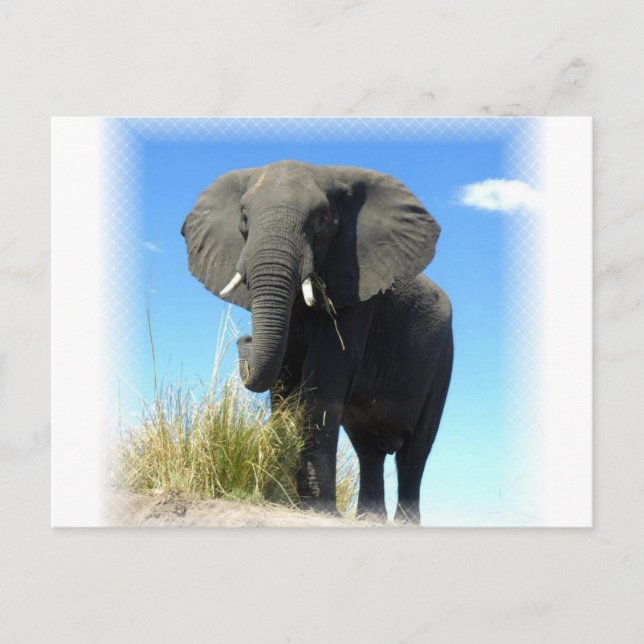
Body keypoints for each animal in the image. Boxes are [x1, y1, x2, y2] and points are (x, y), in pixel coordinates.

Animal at [181, 160, 453, 523]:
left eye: (323, 220)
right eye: (244, 218)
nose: (246, 338)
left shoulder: (357, 290)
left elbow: (324, 377)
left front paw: (315, 508)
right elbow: (283, 381)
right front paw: (283, 499)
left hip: (443, 357)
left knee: (415, 450)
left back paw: (402, 524)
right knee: (368, 449)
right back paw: (369, 520)